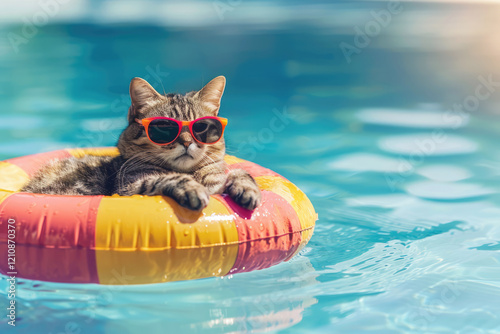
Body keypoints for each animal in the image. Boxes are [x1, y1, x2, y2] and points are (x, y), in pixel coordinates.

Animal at [20, 76, 262, 211]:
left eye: (201, 128)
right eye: (164, 127)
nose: (186, 143)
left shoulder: (217, 184)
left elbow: (240, 173)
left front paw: (248, 189)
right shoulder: (129, 188)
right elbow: (169, 178)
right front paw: (192, 187)